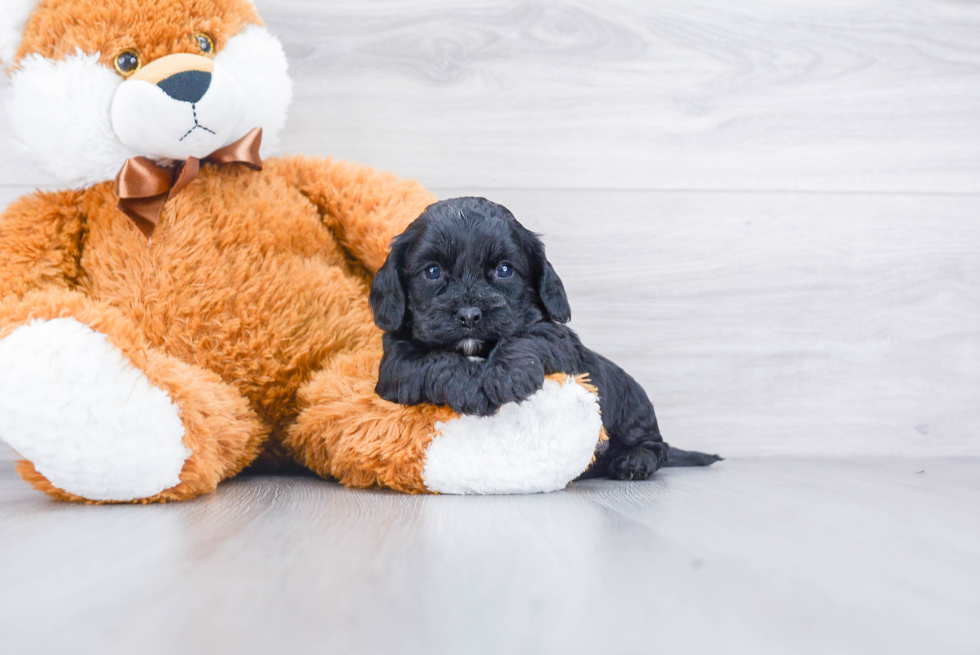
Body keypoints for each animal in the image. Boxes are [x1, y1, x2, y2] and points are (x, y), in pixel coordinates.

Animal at [368, 197, 720, 480]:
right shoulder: (395, 363)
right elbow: (435, 360)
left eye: (504, 270)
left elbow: (528, 338)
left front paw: (506, 376)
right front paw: (471, 387)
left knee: (656, 445)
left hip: (631, 404)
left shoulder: (561, 340)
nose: (469, 315)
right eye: (432, 272)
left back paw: (634, 461)